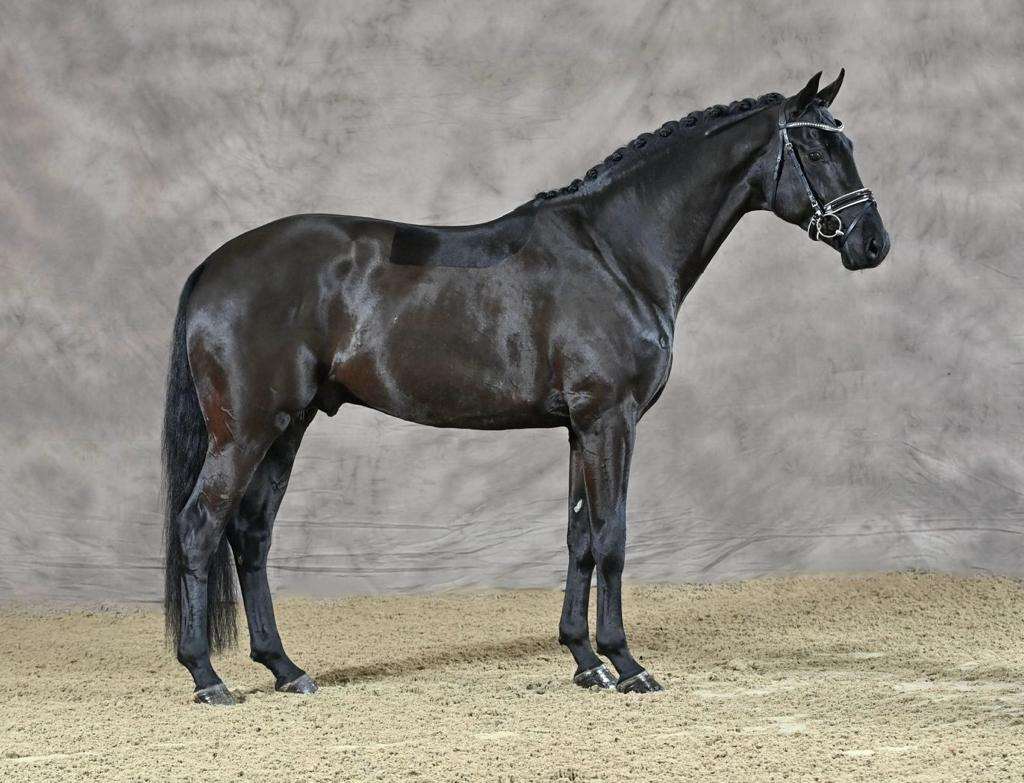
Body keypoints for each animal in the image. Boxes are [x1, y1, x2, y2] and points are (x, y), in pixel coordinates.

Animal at [162, 70, 890, 704]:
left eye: (846, 142)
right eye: (818, 147)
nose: (873, 244)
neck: (615, 254)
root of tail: (212, 268)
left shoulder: (580, 427)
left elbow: (579, 539)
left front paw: (585, 660)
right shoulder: (610, 419)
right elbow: (612, 536)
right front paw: (628, 664)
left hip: (289, 426)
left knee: (251, 533)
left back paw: (285, 668)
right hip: (247, 430)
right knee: (201, 526)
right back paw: (207, 677)